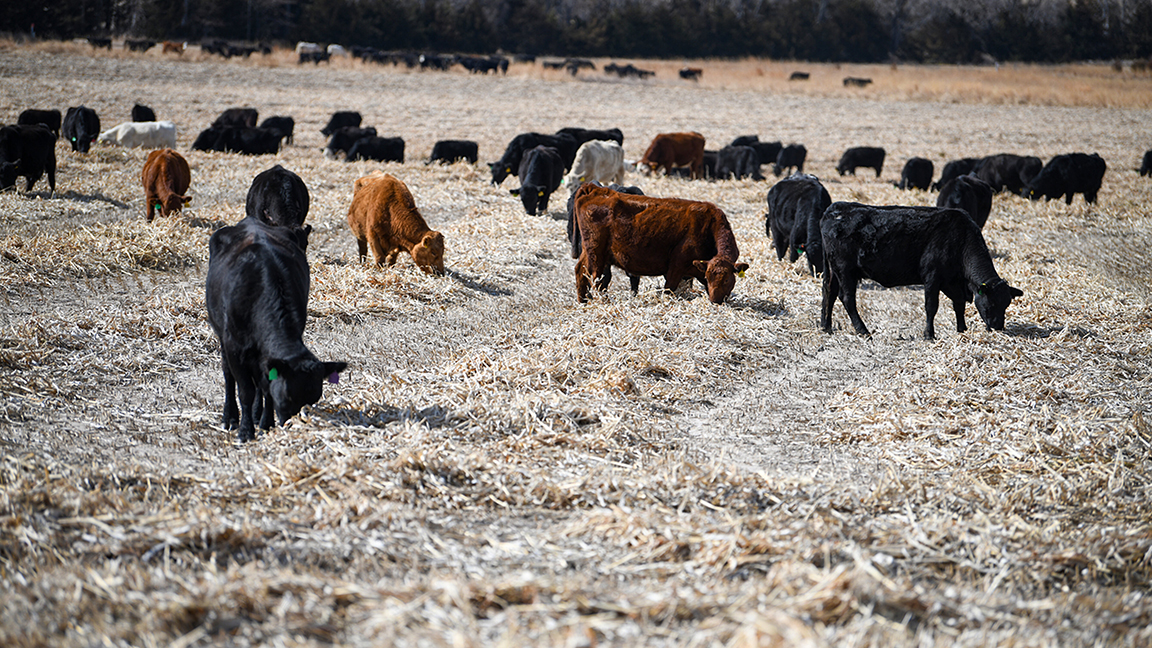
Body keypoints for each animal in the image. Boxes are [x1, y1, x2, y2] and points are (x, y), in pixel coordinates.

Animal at [206, 215, 347, 443]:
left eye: (313, 399)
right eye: (288, 396)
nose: (291, 424)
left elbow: (265, 387)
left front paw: (265, 424)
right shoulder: (234, 345)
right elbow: (245, 390)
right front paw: (246, 431)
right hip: (221, 333)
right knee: (228, 375)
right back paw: (230, 418)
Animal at [572, 183, 749, 304]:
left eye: (726, 279)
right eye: (709, 276)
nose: (715, 301)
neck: (708, 226)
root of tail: (595, 189)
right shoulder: (676, 266)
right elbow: (669, 288)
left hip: (591, 253)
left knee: (581, 271)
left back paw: (583, 302)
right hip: (596, 253)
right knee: (592, 277)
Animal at [820, 202, 1023, 339]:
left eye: (1006, 304)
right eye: (991, 303)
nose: (998, 327)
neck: (960, 239)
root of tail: (835, 209)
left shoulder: (952, 281)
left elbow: (958, 304)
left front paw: (962, 329)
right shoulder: (932, 277)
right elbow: (931, 306)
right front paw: (929, 334)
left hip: (833, 271)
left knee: (829, 293)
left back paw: (826, 327)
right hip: (845, 270)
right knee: (847, 299)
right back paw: (863, 330)